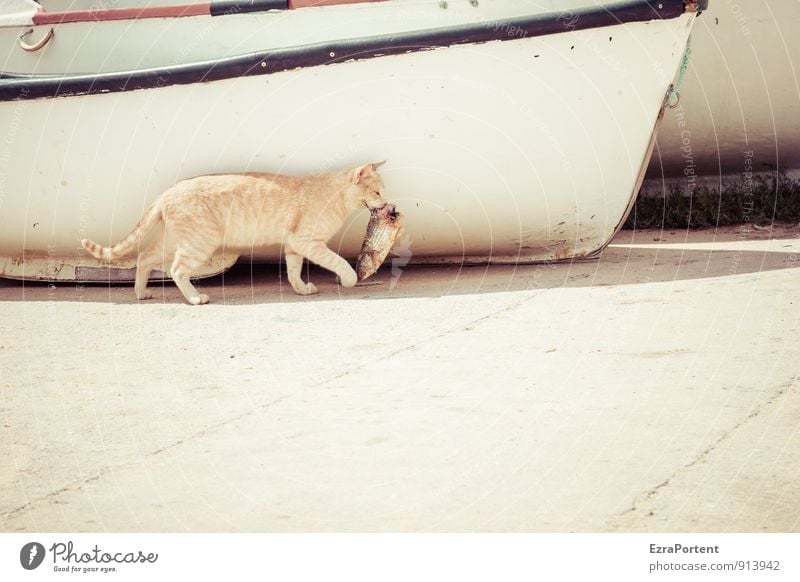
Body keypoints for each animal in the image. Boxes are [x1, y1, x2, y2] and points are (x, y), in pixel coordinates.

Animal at [83, 163, 390, 306]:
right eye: (377, 192)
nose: (389, 205)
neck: (334, 196)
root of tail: (168, 191)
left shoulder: (294, 246)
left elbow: (293, 271)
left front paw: (301, 289)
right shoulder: (308, 243)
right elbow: (339, 262)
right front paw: (348, 280)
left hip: (173, 242)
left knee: (144, 258)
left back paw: (141, 293)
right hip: (198, 244)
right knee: (177, 270)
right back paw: (195, 298)